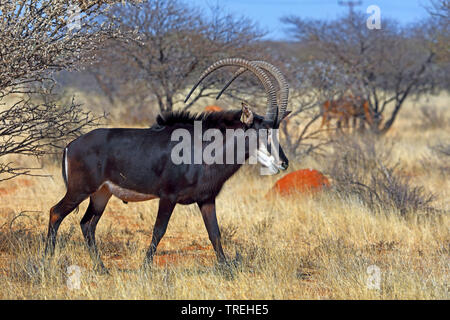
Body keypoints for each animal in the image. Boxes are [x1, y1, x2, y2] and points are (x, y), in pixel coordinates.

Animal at [44, 58, 292, 272]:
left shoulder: (206, 199)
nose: (284, 163)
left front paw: (226, 270)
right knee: (56, 212)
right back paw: (46, 262)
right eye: (262, 132)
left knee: (87, 224)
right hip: (80, 190)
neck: (204, 147)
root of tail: (71, 145)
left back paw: (102, 269)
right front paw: (145, 268)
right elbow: (159, 231)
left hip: (101, 194)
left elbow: (215, 233)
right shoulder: (168, 196)